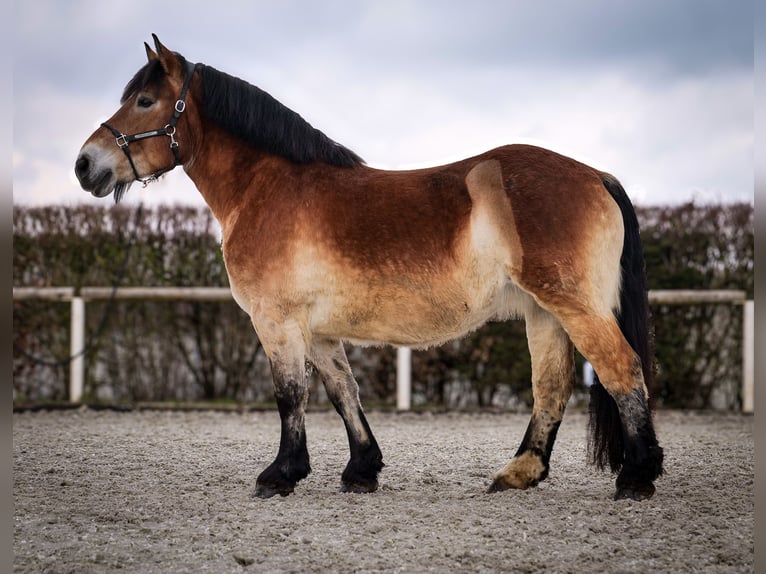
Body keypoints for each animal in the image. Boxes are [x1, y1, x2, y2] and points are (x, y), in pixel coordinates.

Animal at [78, 37, 664, 504]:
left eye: (145, 101)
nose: (86, 165)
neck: (266, 188)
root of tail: (596, 175)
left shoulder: (277, 322)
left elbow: (290, 396)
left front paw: (280, 475)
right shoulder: (316, 330)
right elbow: (344, 392)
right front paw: (361, 470)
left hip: (573, 305)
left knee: (620, 369)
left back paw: (636, 477)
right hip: (545, 312)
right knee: (551, 387)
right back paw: (519, 473)